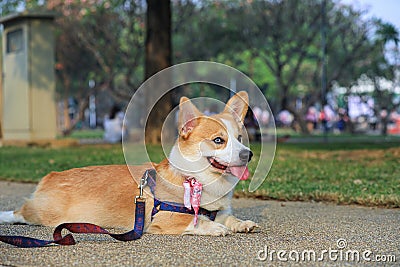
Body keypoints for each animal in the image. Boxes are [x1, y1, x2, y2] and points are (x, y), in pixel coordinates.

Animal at [0, 91, 256, 237]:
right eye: (218, 140)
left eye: (240, 138)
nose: (248, 155)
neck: (197, 178)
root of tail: (50, 175)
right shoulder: (166, 219)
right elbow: (195, 223)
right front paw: (215, 228)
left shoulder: (221, 211)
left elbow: (229, 218)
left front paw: (242, 224)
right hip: (44, 213)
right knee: (20, 212)